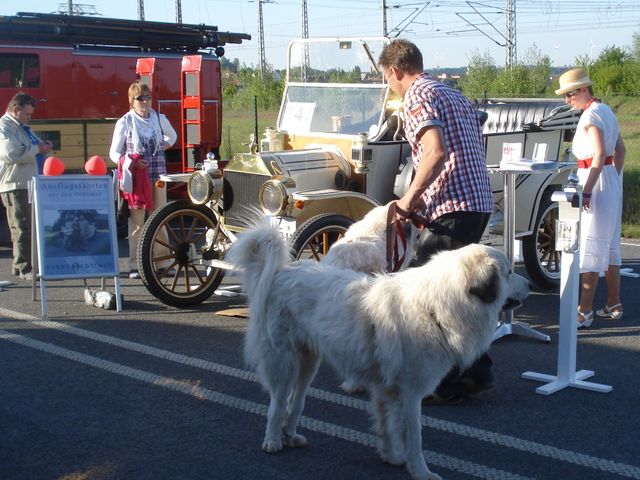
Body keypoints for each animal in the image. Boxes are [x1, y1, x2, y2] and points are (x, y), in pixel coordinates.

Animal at [229, 222, 529, 480]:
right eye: (509, 273)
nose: (528, 284)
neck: (437, 305)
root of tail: (282, 272)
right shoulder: (410, 393)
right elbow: (414, 436)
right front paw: (420, 471)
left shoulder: (388, 389)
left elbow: (388, 426)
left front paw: (390, 456)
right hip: (284, 362)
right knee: (278, 402)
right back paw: (273, 440)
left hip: (308, 363)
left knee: (297, 401)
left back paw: (290, 435)